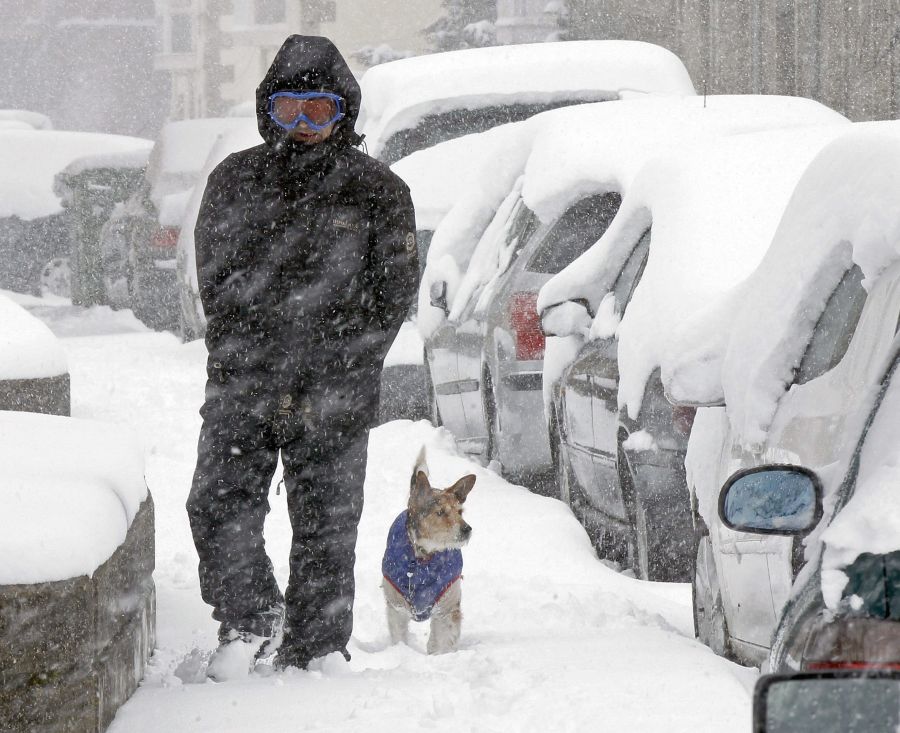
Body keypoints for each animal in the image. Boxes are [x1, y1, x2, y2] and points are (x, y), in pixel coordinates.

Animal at [382, 448, 474, 656]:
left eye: (460, 512)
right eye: (440, 512)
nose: (466, 529)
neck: (423, 557)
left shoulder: (448, 609)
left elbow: (443, 641)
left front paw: (440, 657)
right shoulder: (396, 607)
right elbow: (399, 635)